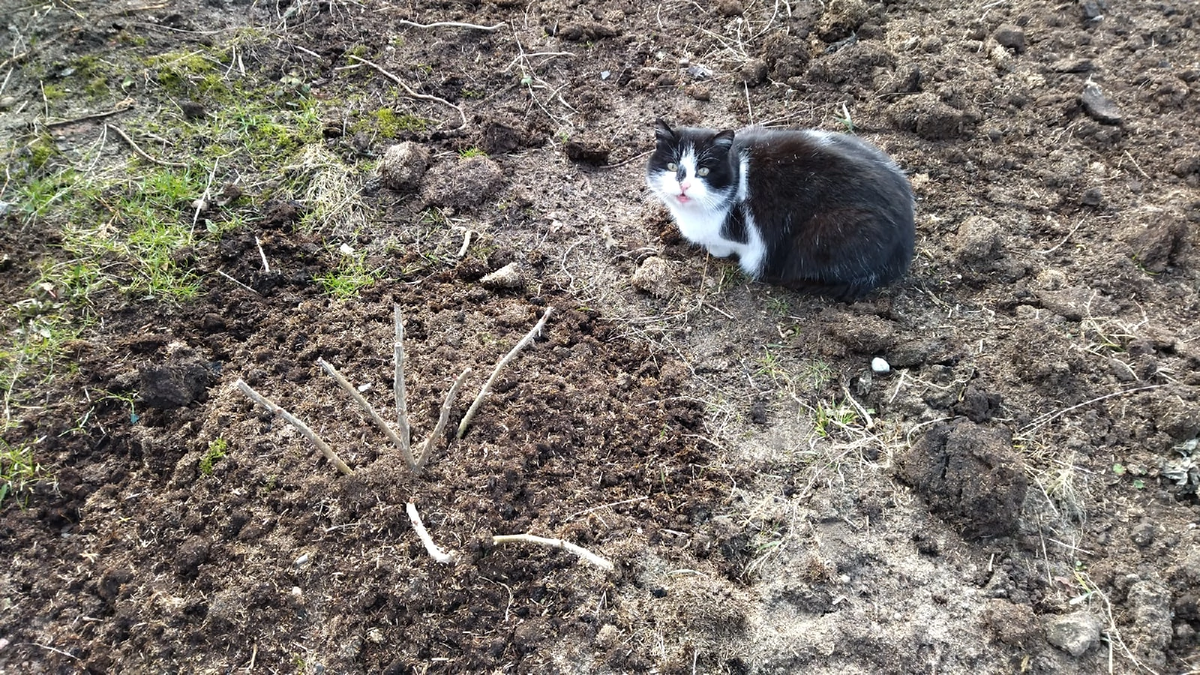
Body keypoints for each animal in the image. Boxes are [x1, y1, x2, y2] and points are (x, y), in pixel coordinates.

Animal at [652, 118, 912, 299]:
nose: (683, 185)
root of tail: (905, 247)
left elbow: (724, 245)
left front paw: (716, 250)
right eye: (672, 166)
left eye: (704, 171)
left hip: (833, 231)